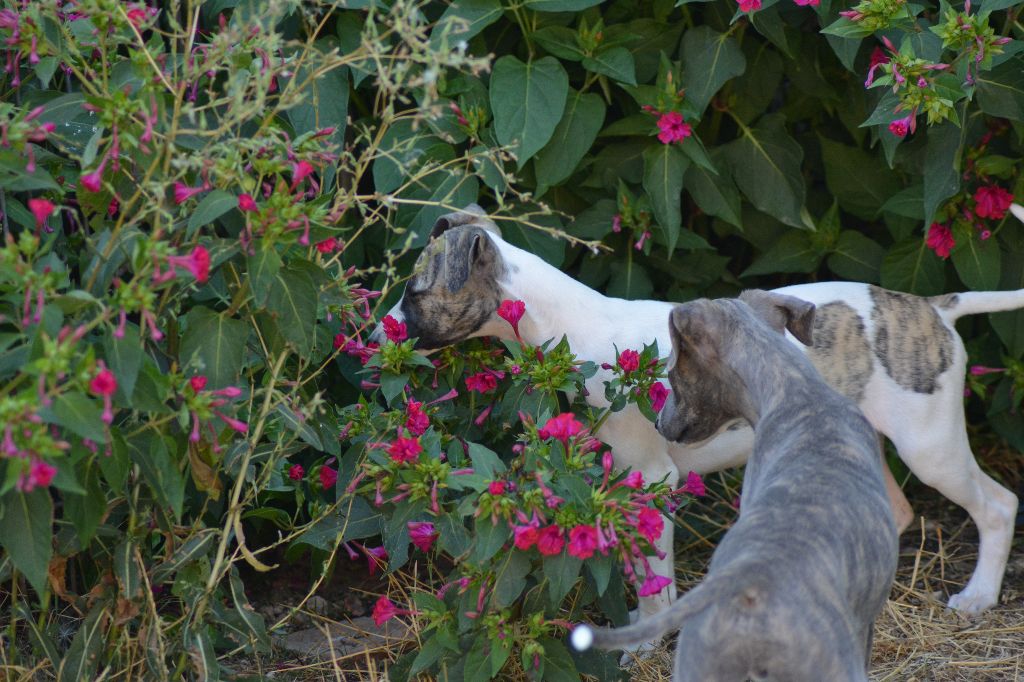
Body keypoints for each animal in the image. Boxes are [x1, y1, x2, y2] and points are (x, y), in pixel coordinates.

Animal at [370, 204, 1020, 618]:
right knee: (899, 510)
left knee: (997, 506)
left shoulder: (651, 480)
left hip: (930, 447)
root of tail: (932, 308)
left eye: (413, 292)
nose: (376, 337)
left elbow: (650, 580)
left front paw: (642, 642)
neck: (572, 328)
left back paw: (978, 597)